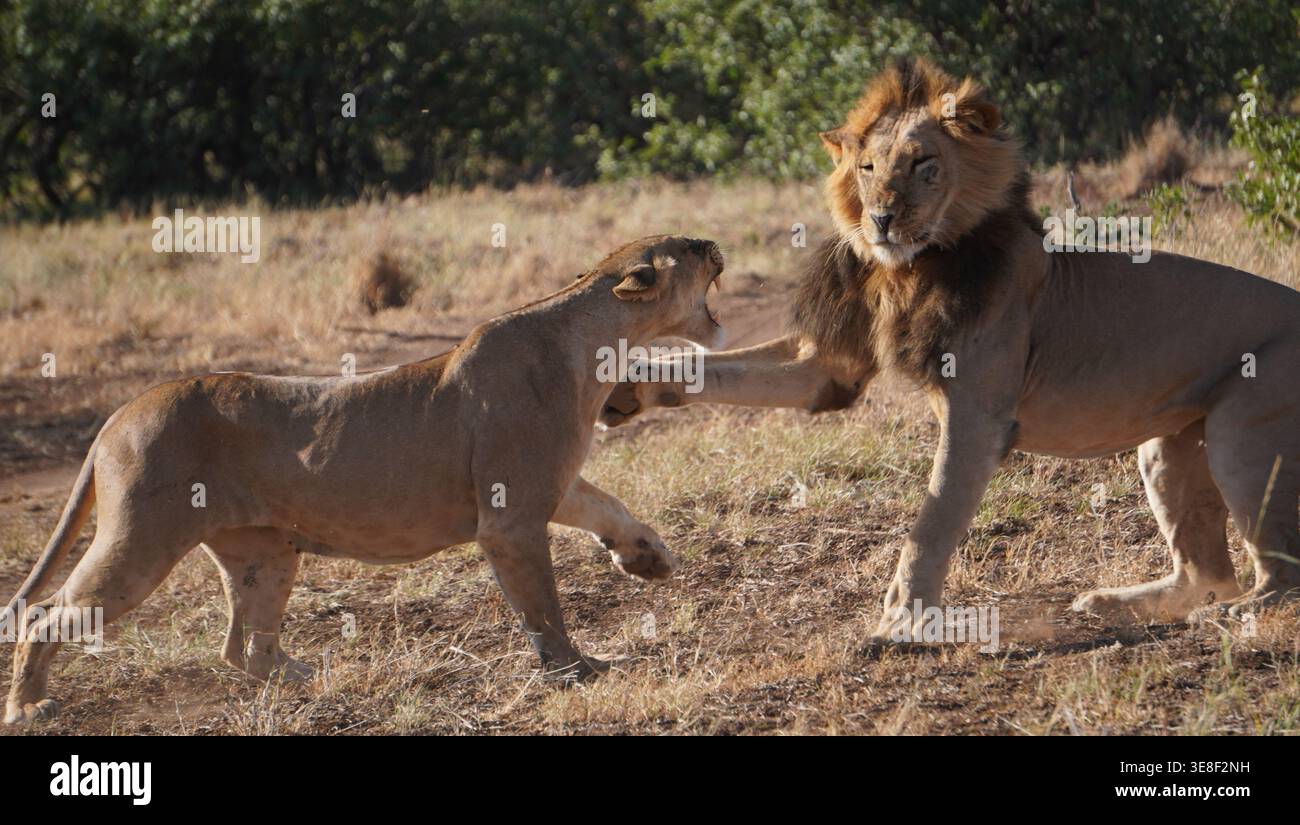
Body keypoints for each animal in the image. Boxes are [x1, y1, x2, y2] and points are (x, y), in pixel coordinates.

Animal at [4, 234, 725, 725]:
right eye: (688, 248)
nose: (714, 242)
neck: (595, 344)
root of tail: (116, 416)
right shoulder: (510, 517)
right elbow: (543, 605)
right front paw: (577, 669)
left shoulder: (548, 486)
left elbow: (609, 505)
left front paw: (648, 559)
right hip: (142, 540)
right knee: (46, 614)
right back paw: (29, 708)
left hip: (264, 551)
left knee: (242, 648)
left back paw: (304, 675)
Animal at [602, 58, 1300, 647]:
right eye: (867, 169)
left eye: (922, 163)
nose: (882, 218)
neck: (912, 270)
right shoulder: (830, 366)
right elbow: (721, 368)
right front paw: (625, 385)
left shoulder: (978, 415)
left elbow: (932, 522)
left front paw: (900, 623)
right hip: (1166, 443)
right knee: (1207, 574)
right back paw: (1113, 604)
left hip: (1242, 428)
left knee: (1277, 576)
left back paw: (1229, 619)